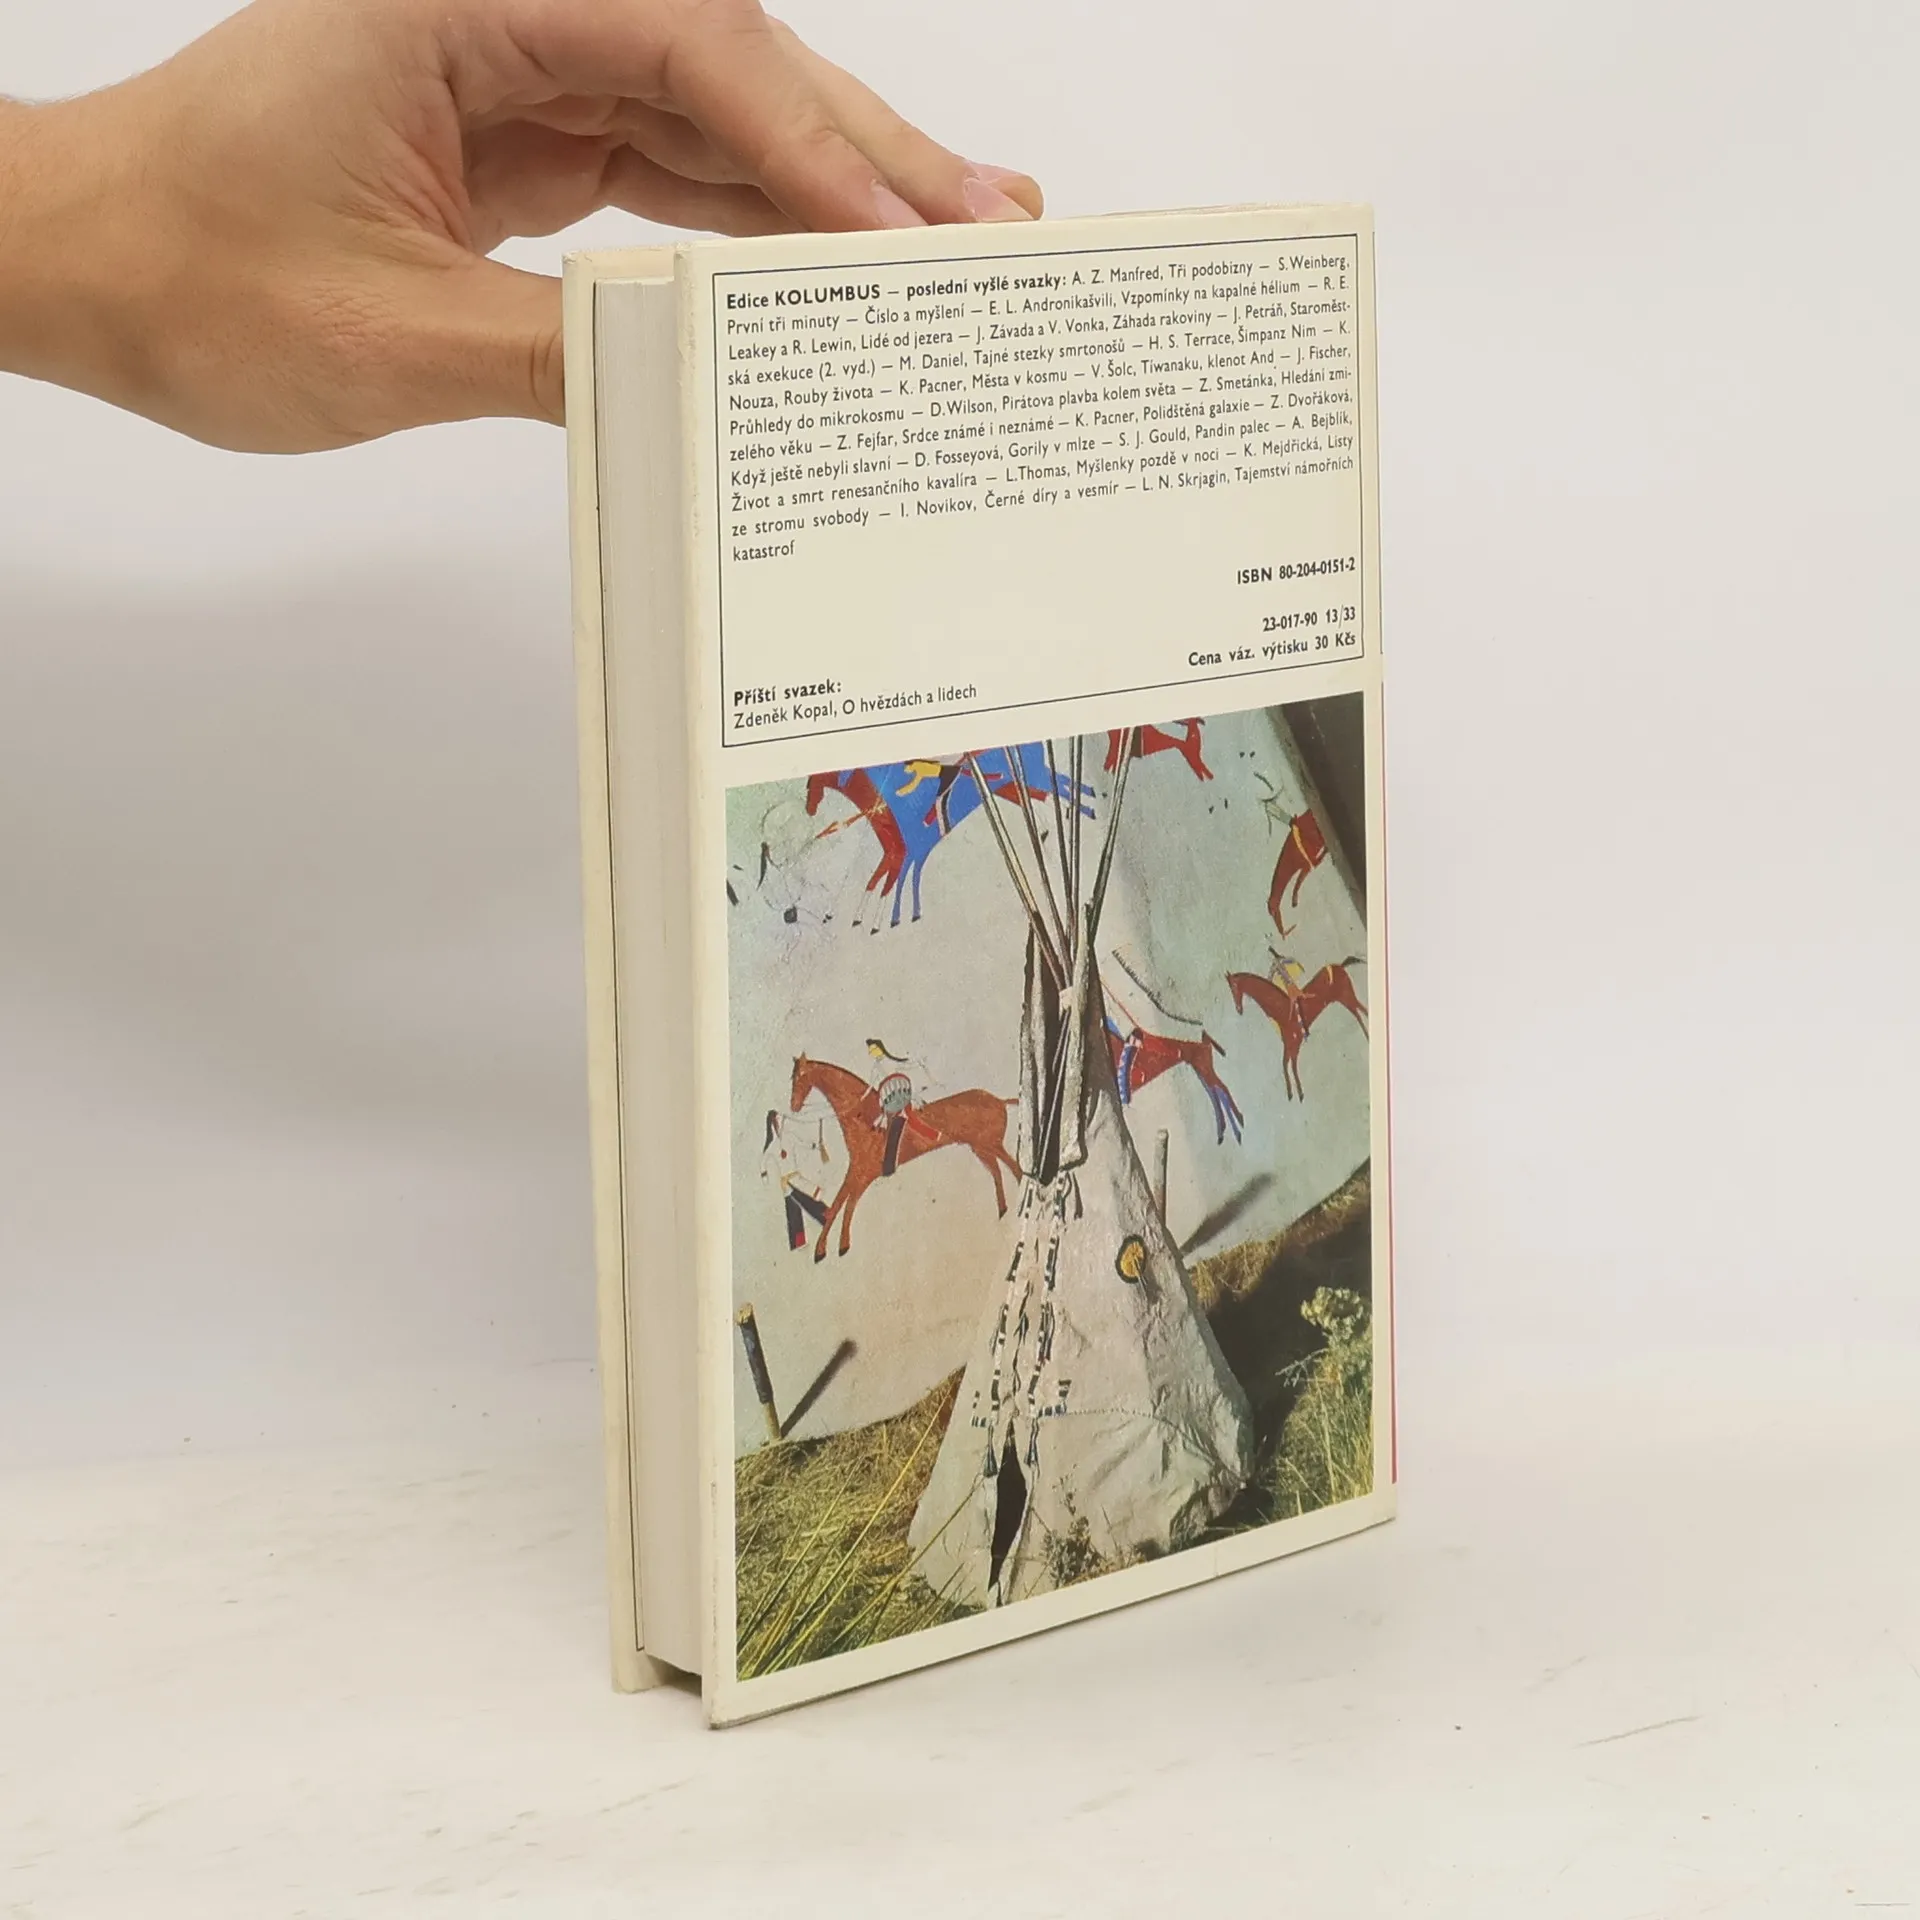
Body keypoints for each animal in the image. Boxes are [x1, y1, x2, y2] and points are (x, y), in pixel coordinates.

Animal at [789, 1054, 1023, 1261]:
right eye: (792, 1078)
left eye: (800, 1077)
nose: (794, 1106)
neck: (864, 1118)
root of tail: (1000, 1100)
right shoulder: (856, 1170)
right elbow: (838, 1204)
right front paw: (825, 1249)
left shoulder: (862, 1174)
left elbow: (845, 1204)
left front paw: (837, 1246)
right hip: (981, 1148)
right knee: (998, 1171)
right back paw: (1003, 1209)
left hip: (990, 1145)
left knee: (1015, 1168)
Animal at [1225, 959, 1368, 1102]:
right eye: (1230, 989)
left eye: (1234, 987)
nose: (1239, 1009)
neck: (1281, 1011)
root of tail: (1340, 966)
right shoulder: (1288, 1044)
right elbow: (1284, 1064)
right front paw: (1290, 1093)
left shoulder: (1295, 1044)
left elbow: (1292, 1066)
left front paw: (1300, 1093)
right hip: (1344, 999)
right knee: (1359, 1013)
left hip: (1347, 996)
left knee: (1362, 1011)